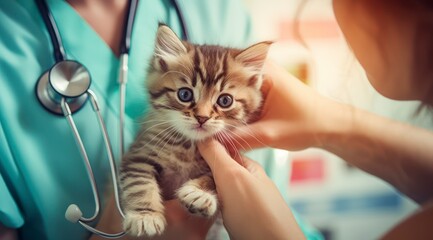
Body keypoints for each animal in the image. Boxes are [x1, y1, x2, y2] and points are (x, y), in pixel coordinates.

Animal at [119, 25, 270, 237]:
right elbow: (139, 183)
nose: (202, 117)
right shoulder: (138, 155)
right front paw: (145, 215)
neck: (188, 147)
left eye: (225, 100)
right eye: (185, 94)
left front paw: (199, 193)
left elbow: (213, 178)